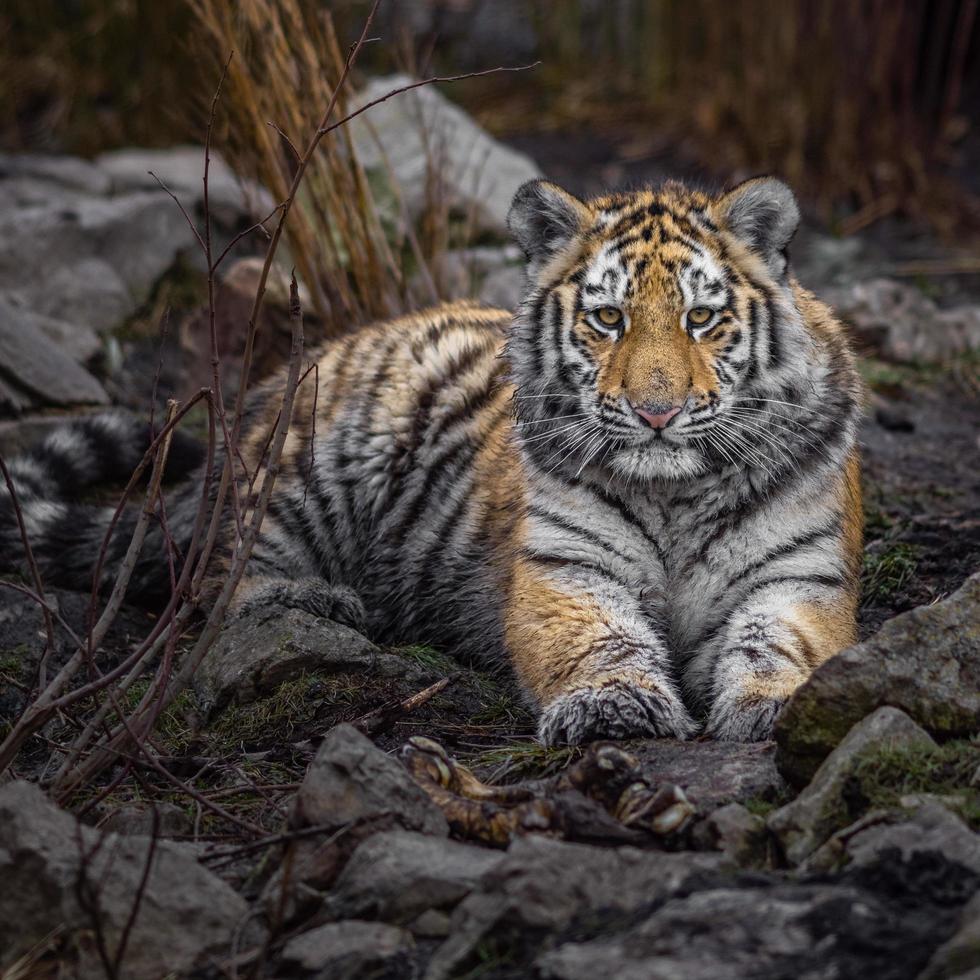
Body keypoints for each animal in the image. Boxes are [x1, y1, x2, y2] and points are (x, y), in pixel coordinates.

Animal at [0, 176, 860, 744]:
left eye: (703, 318)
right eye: (609, 319)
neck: (675, 491)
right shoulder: (565, 569)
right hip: (314, 472)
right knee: (215, 580)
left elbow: (781, 643)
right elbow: (602, 638)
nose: (657, 412)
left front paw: (783, 706)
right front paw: (616, 706)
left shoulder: (801, 575)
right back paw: (313, 599)